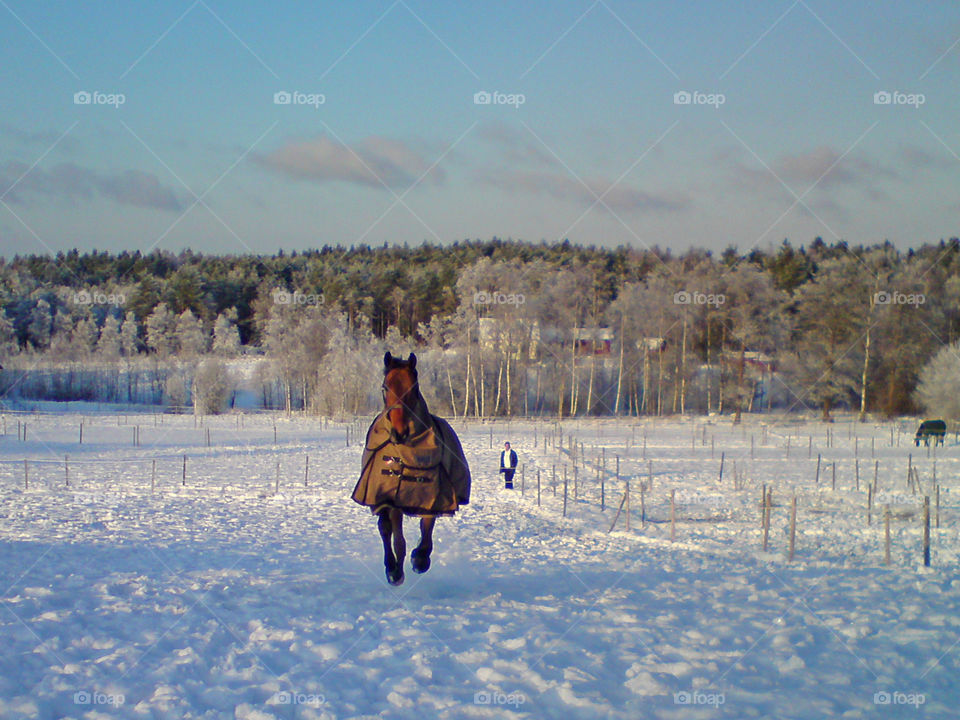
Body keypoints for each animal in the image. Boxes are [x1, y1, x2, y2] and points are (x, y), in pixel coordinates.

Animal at [352, 352, 471, 586]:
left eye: (413, 387)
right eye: (385, 387)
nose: (399, 432)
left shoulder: (433, 497)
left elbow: (427, 530)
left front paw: (420, 559)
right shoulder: (392, 499)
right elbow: (398, 539)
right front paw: (396, 571)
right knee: (385, 529)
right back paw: (391, 567)